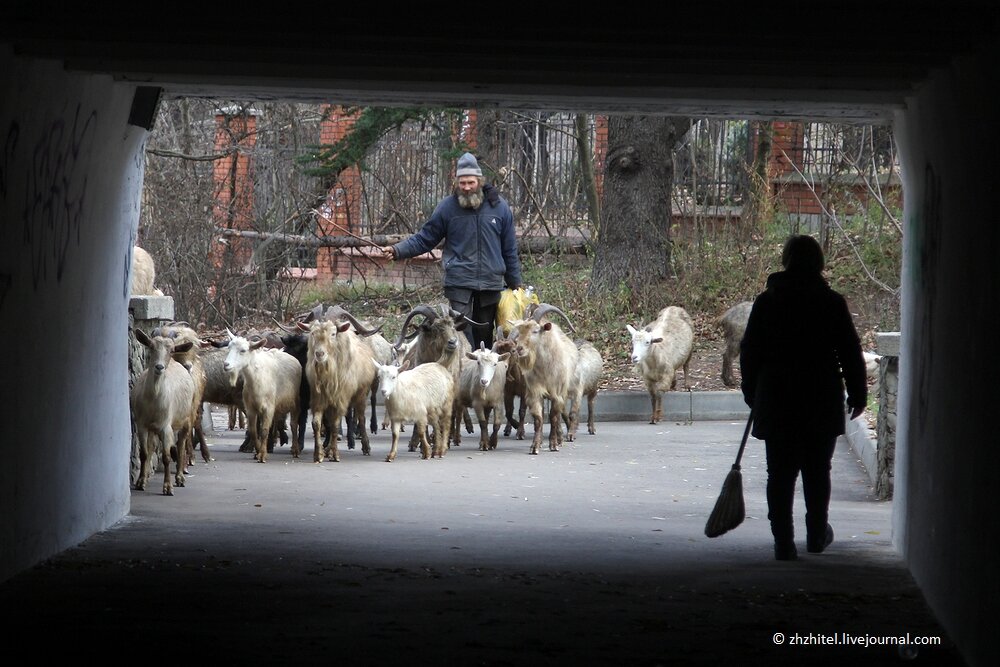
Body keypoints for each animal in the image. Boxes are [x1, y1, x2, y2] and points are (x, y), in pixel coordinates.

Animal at [130, 330, 196, 496]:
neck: (153, 402)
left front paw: (168, 487)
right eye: (151, 346)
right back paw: (146, 477)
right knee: (152, 446)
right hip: (154, 428)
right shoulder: (142, 424)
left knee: (181, 444)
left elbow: (166, 457)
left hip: (187, 417)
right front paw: (141, 482)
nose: (159, 367)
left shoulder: (166, 426)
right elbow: (144, 453)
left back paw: (180, 478)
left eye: (171, 350)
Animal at [225, 330, 302, 464]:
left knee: (293, 424)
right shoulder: (251, 408)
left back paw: (295, 450)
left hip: (295, 402)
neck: (256, 379)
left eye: (243, 350)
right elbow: (254, 431)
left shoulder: (268, 408)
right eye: (229, 347)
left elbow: (264, 430)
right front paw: (257, 452)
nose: (226, 364)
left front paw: (262, 455)